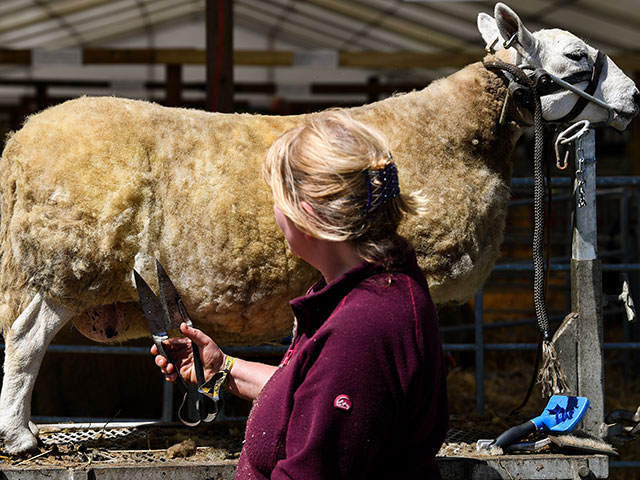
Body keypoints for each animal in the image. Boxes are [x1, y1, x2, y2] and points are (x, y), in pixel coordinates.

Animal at [1, 3, 640, 454]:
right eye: (577, 57)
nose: (634, 96)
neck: (455, 130)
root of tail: (23, 137)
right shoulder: (424, 266)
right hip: (68, 262)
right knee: (25, 343)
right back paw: (20, 437)